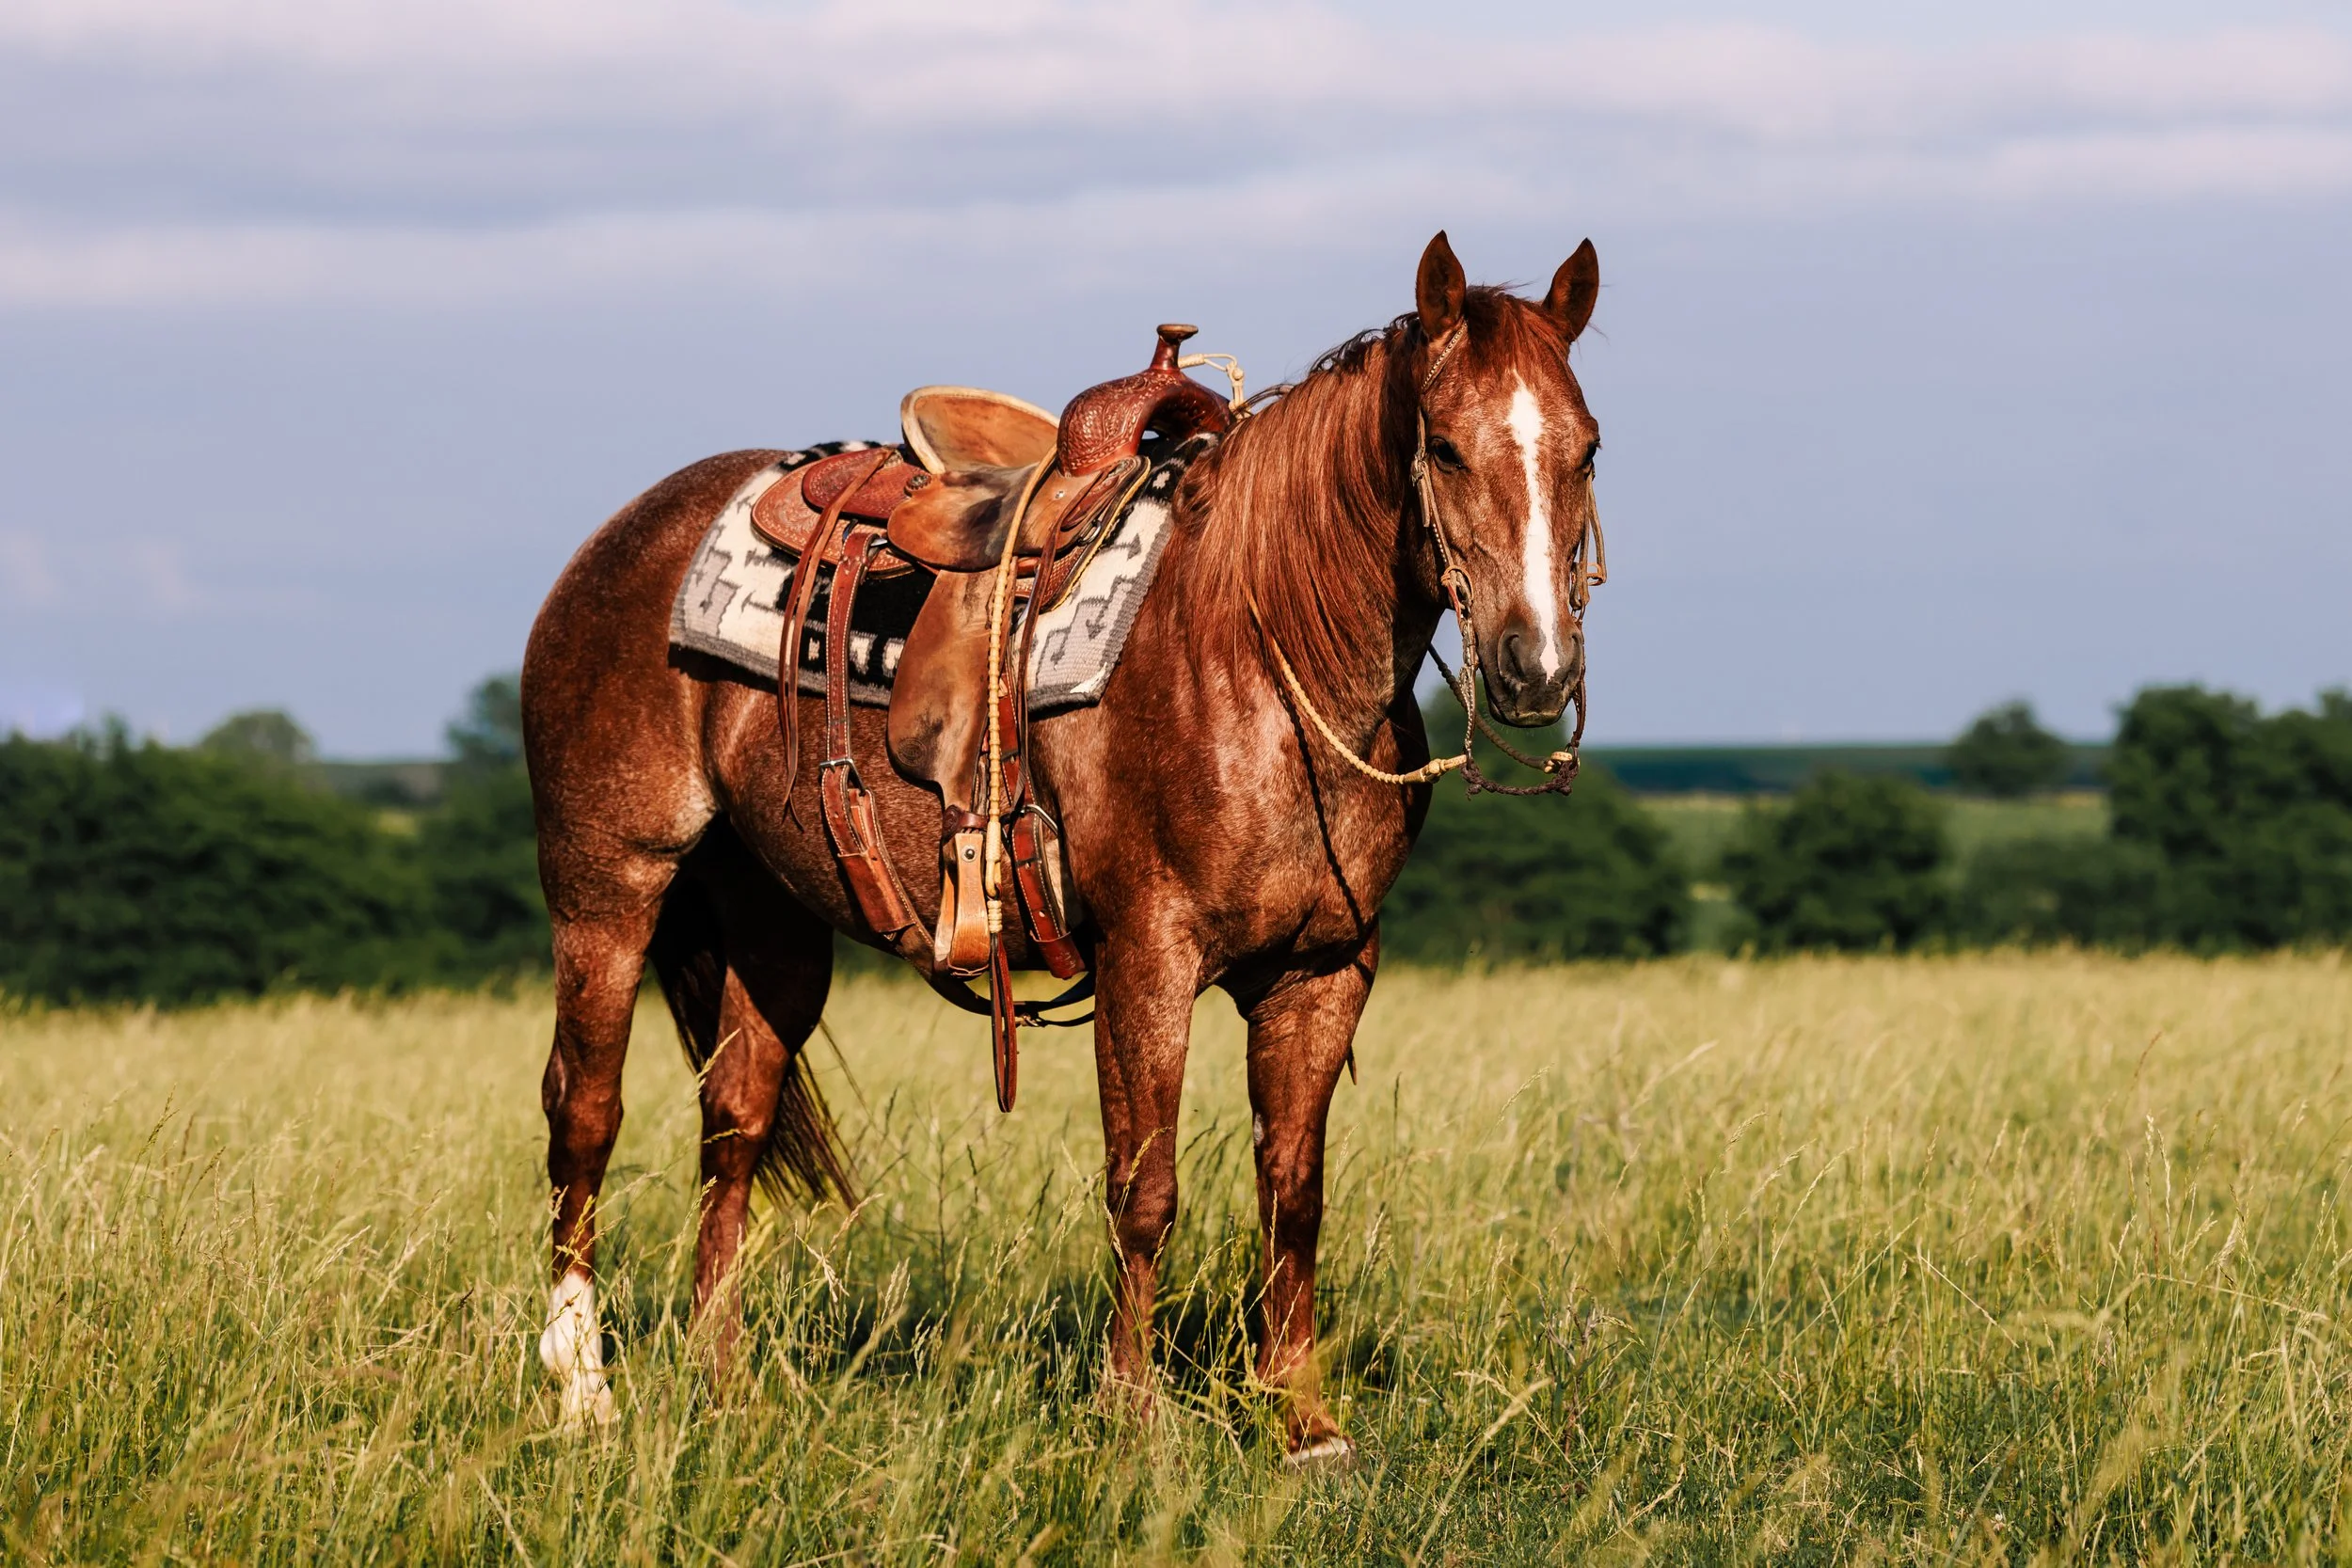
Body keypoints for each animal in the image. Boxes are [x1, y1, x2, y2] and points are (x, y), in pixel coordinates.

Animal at [521, 231, 1605, 1462]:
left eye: (1586, 448)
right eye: (1445, 446)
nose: (1533, 666)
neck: (1257, 652)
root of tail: (621, 536)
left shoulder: (1324, 969)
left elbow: (1294, 1185)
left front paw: (1302, 1420)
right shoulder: (1148, 959)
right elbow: (1145, 1187)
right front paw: (1133, 1421)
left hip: (773, 918)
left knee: (734, 1118)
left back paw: (726, 1383)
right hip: (606, 886)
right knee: (583, 1113)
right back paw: (583, 1387)